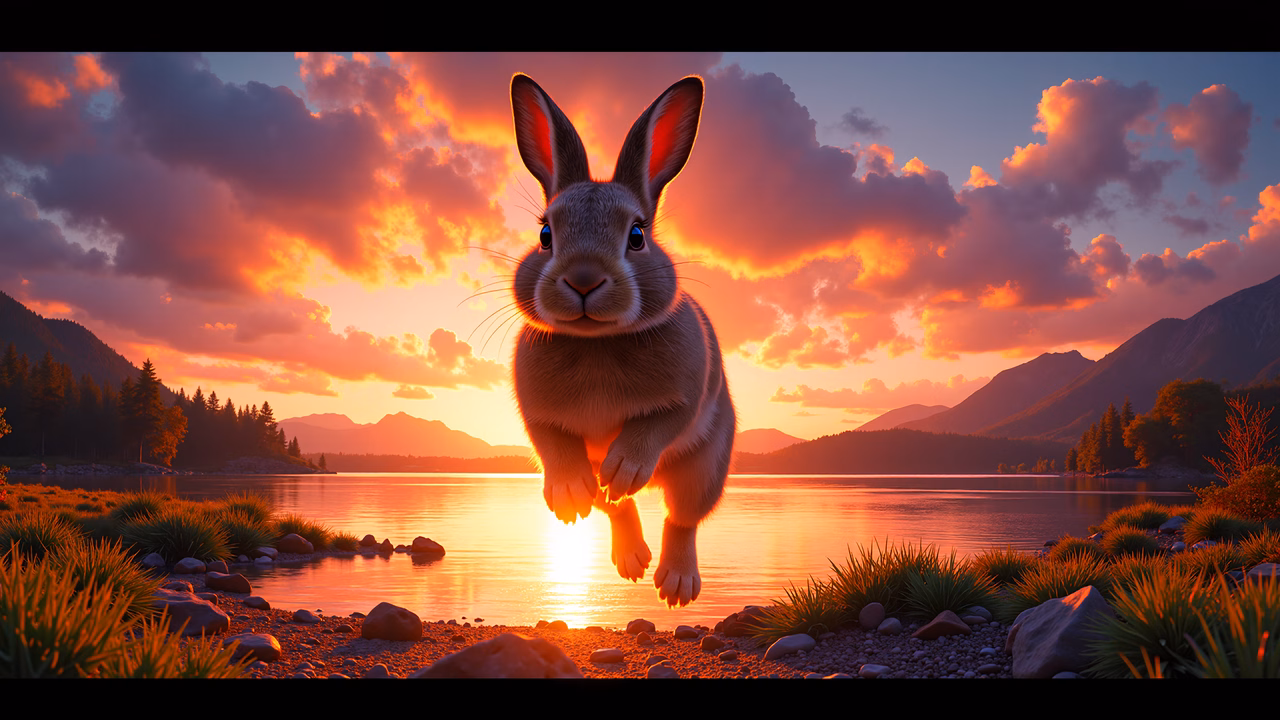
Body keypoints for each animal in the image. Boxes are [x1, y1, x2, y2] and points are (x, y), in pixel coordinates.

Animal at [508, 73, 735, 608]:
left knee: (682, 517)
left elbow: (656, 426)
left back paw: (676, 584)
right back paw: (630, 556)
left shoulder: (686, 399)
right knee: (616, 507)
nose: (584, 279)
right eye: (545, 234)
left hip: (706, 467)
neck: (597, 343)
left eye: (637, 235)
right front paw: (568, 496)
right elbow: (551, 443)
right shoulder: (536, 415)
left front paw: (625, 468)